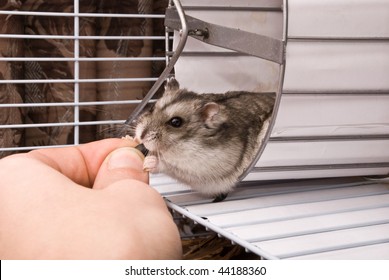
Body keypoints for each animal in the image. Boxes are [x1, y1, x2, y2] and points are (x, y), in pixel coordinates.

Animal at [132, 78, 274, 199]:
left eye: (176, 122)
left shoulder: (200, 168)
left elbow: (170, 166)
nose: (141, 136)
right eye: (152, 107)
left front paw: (148, 162)